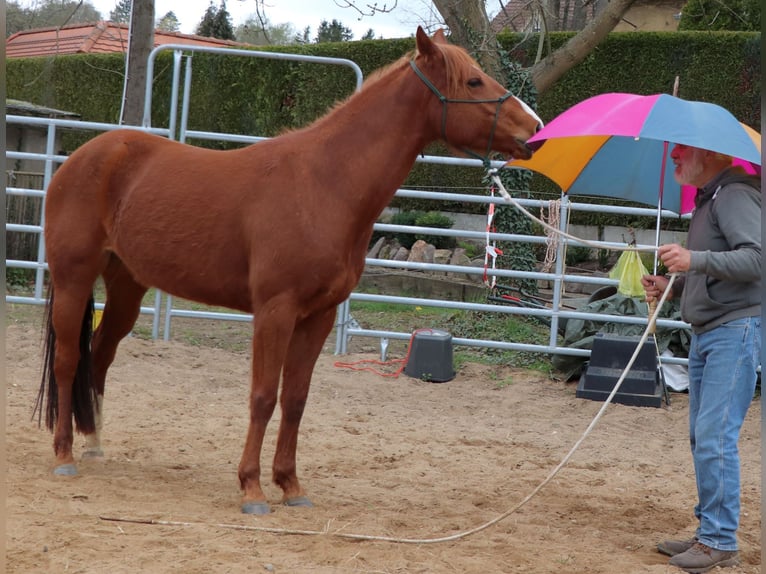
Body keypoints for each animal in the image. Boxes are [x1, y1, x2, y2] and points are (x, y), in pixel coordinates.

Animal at [35, 26, 542, 515]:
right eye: (474, 81)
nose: (534, 130)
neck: (323, 183)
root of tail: (84, 157)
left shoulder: (317, 317)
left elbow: (295, 399)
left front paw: (291, 486)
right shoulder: (275, 312)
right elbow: (263, 396)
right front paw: (252, 489)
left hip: (127, 287)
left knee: (100, 354)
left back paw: (94, 442)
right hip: (74, 278)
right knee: (69, 359)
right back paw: (63, 455)